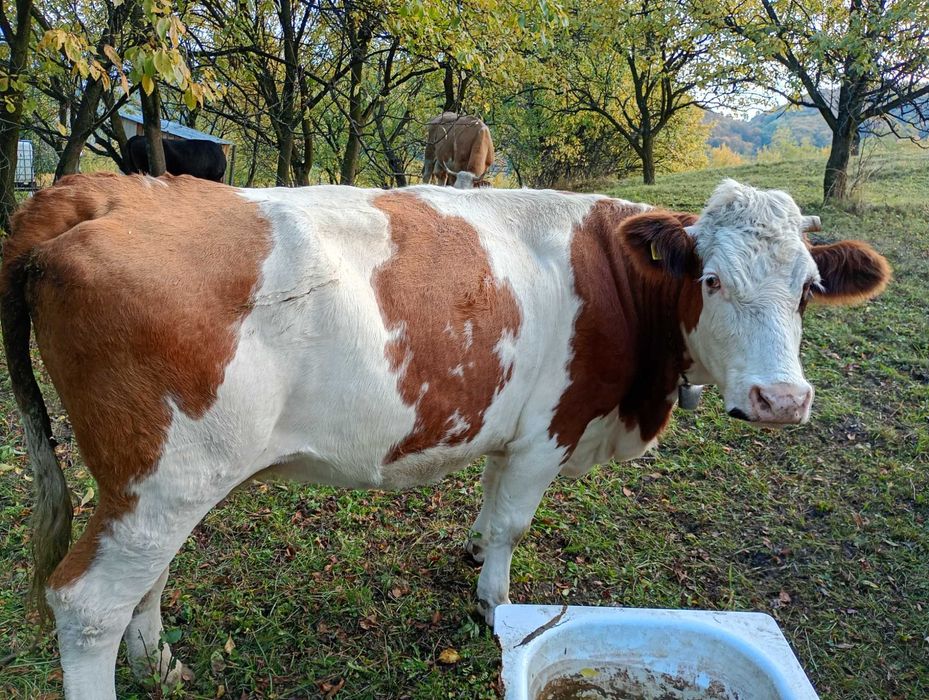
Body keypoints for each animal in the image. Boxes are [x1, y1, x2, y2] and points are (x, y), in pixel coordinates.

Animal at [0, 173, 890, 698]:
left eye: (807, 288)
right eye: (710, 279)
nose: (781, 399)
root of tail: (104, 190)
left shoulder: (511, 432)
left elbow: (488, 508)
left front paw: (469, 551)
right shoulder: (549, 431)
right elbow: (512, 525)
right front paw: (497, 605)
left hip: (161, 482)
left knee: (144, 577)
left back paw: (158, 662)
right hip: (162, 473)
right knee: (88, 603)